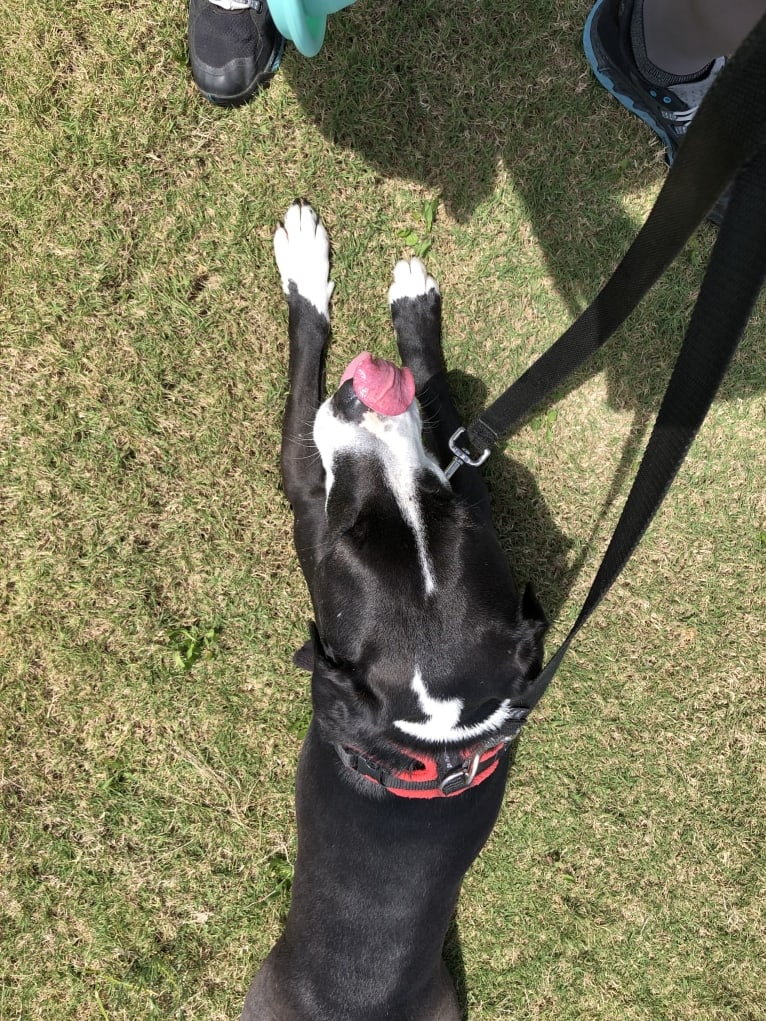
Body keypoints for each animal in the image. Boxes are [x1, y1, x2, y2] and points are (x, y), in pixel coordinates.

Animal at [243, 203, 547, 1021]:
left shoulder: (309, 491)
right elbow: (450, 415)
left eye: (349, 533)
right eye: (437, 507)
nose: (363, 400)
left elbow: (312, 383)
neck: (435, 738)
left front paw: (309, 267)